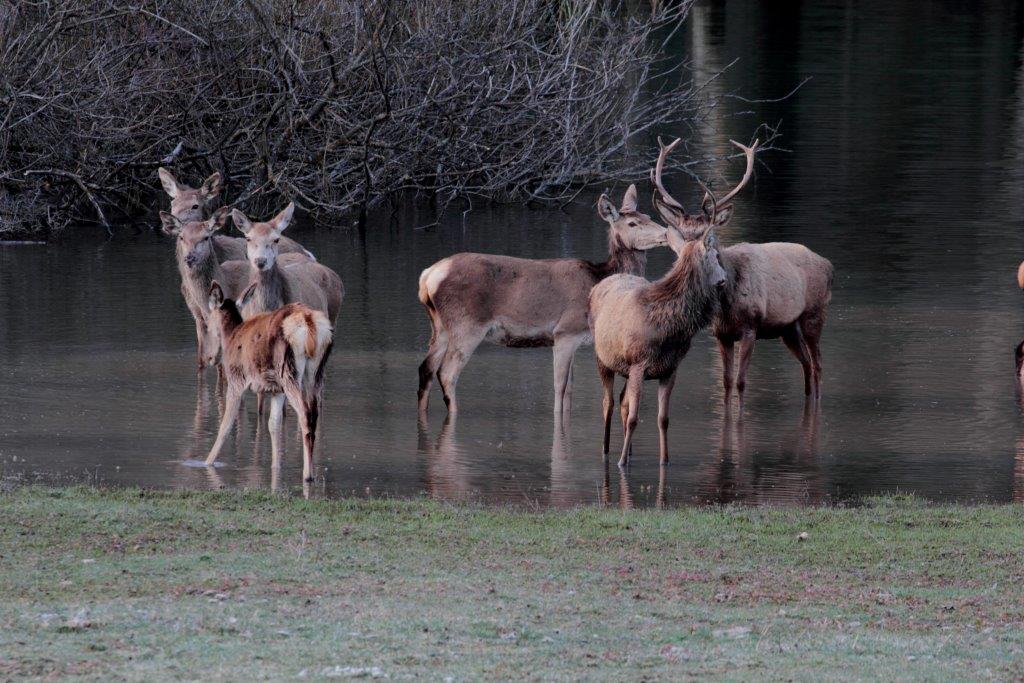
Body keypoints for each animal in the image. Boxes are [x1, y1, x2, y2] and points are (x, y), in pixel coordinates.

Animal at [205, 280, 333, 483]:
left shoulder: (236, 380)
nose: (210, 358)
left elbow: (225, 425)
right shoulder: (276, 390)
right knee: (314, 414)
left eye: (207, 325)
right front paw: (275, 467)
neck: (230, 337)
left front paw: (207, 462)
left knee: (305, 415)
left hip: (288, 371)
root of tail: (309, 322)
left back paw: (307, 474)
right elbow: (273, 424)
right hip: (315, 373)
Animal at [417, 185, 671, 417]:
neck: (598, 281)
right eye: (632, 224)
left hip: (439, 326)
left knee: (425, 368)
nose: (666, 233)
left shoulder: (574, 339)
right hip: (467, 324)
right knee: (446, 373)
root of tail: (428, 276)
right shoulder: (565, 331)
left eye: (648, 216)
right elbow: (560, 388)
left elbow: (569, 391)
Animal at [585, 200, 729, 471]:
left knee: (622, 401)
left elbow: (663, 418)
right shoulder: (638, 364)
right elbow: (634, 418)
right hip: (602, 358)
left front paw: (665, 460)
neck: (669, 330)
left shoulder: (670, 368)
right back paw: (607, 451)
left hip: (624, 368)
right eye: (715, 256)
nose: (724, 279)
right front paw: (621, 463)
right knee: (608, 404)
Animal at [651, 136, 835, 409]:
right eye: (682, 236)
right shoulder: (721, 334)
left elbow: (740, 381)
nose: (687, 261)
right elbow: (726, 382)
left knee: (818, 364)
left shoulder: (751, 326)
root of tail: (829, 265)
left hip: (814, 313)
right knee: (807, 364)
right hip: (788, 328)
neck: (728, 302)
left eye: (709, 236)